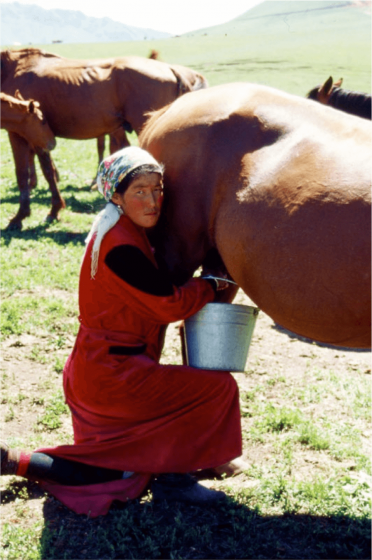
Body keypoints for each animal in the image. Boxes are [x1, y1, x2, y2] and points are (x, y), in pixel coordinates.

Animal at [0, 48, 206, 230]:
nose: (53, 143)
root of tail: (171, 69)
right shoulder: (35, 136)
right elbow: (46, 170)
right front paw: (53, 209)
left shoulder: (19, 133)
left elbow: (23, 174)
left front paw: (20, 216)